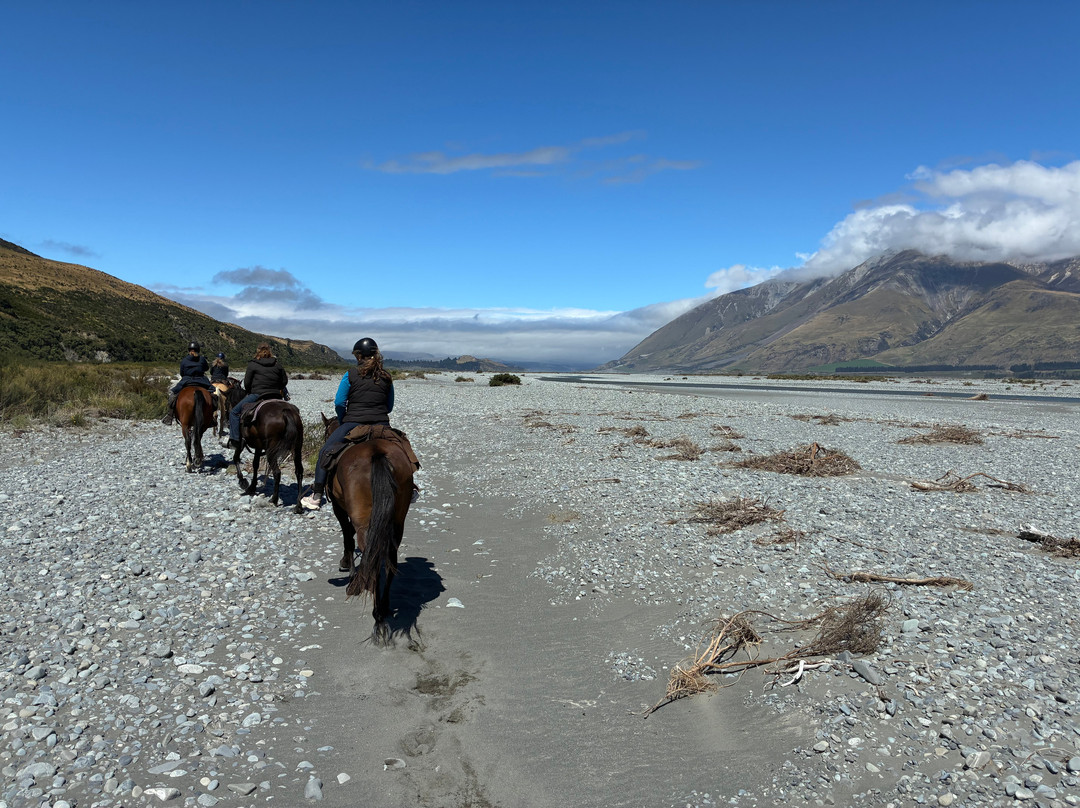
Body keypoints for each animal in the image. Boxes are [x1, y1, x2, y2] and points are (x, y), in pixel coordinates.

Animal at [321, 415, 415, 645]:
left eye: (326, 432)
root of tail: (377, 453)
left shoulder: (339, 508)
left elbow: (347, 536)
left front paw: (349, 569)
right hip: (397, 521)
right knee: (389, 558)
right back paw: (385, 607)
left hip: (363, 520)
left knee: (371, 557)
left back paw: (377, 616)